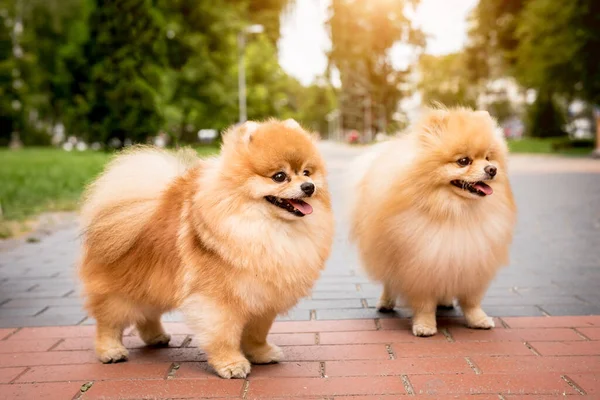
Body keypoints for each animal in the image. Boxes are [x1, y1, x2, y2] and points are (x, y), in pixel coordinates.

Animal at [77, 119, 336, 378]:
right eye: (280, 176)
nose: (309, 187)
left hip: (153, 281)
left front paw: (261, 353)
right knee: (109, 320)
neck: (268, 228)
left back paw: (156, 337)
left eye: (307, 172)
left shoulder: (262, 297)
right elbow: (224, 335)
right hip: (121, 289)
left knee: (147, 312)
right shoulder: (218, 299)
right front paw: (231, 364)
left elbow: (257, 332)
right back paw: (111, 351)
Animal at [350, 107, 516, 338]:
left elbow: (471, 301)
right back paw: (386, 303)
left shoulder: (473, 262)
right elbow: (424, 303)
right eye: (463, 161)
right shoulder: (421, 264)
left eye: (488, 158)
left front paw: (478, 320)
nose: (492, 169)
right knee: (389, 282)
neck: (456, 213)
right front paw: (425, 325)